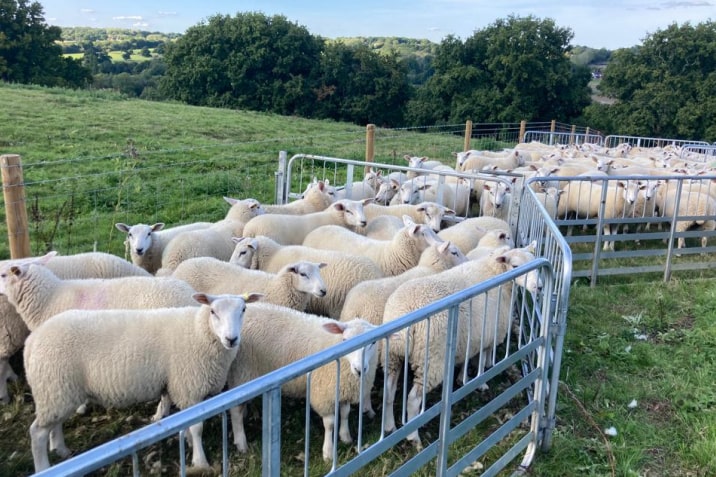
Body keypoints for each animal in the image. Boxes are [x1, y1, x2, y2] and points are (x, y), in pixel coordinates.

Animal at [25, 292, 263, 473]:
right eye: (213, 311)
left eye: (243, 310)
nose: (231, 339)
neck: (199, 332)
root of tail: (32, 341)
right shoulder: (189, 388)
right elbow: (197, 428)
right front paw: (200, 461)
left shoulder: (175, 384)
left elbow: (180, 417)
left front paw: (185, 441)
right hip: (55, 385)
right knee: (37, 433)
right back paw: (44, 467)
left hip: (57, 390)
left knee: (54, 423)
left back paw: (61, 450)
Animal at [227, 303, 380, 461]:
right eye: (345, 340)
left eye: (373, 342)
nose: (359, 369)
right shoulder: (324, 395)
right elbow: (330, 424)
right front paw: (328, 453)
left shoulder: (343, 389)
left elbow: (345, 413)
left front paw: (345, 436)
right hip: (242, 372)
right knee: (235, 410)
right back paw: (241, 442)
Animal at [381, 245, 541, 447]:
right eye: (515, 266)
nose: (539, 287)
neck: (494, 273)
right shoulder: (490, 331)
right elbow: (483, 358)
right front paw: (483, 380)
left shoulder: (471, 337)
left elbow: (468, 359)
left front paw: (462, 377)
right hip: (432, 359)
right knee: (413, 399)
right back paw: (414, 437)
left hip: (392, 355)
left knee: (388, 391)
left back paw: (389, 426)